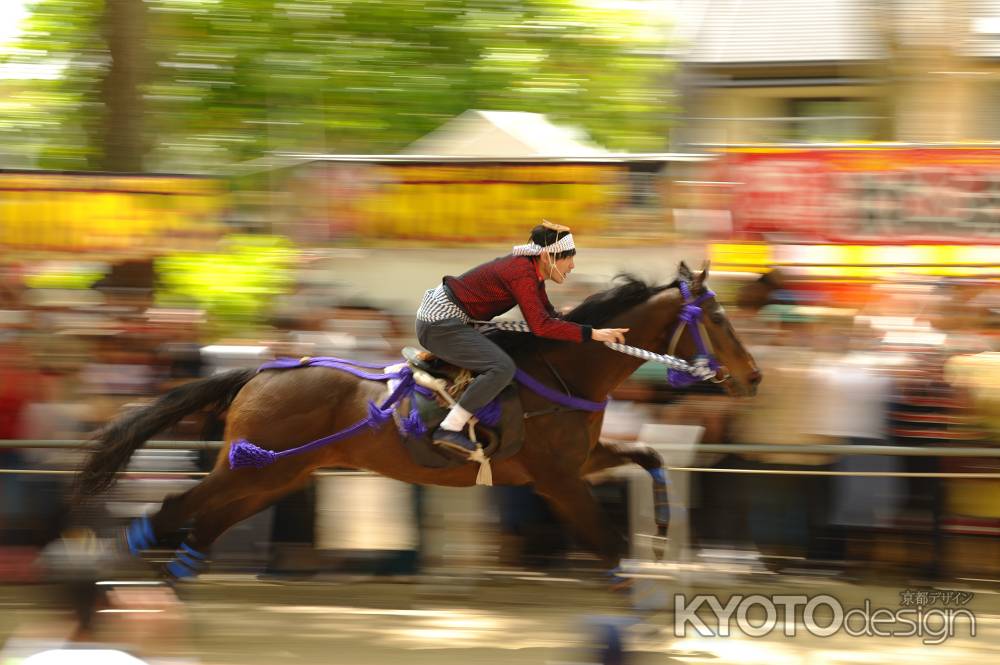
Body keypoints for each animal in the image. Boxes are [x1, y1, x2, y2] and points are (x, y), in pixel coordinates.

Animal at [78, 262, 760, 572]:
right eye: (718, 320)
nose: (753, 377)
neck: (569, 370)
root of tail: (260, 371)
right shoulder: (557, 480)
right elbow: (608, 543)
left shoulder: (577, 462)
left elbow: (650, 455)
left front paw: (666, 526)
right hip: (254, 466)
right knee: (179, 507)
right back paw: (120, 554)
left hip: (279, 474)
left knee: (206, 525)